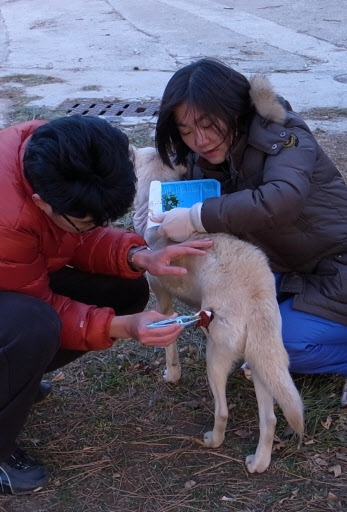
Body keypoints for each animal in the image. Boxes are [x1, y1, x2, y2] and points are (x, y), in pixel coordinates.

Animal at [132, 146, 304, 474]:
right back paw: (258, 463)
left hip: (215, 357)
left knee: (223, 412)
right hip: (262, 363)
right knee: (270, 419)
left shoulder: (164, 304)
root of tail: (255, 297)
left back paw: (213, 440)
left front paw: (171, 375)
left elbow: (170, 350)